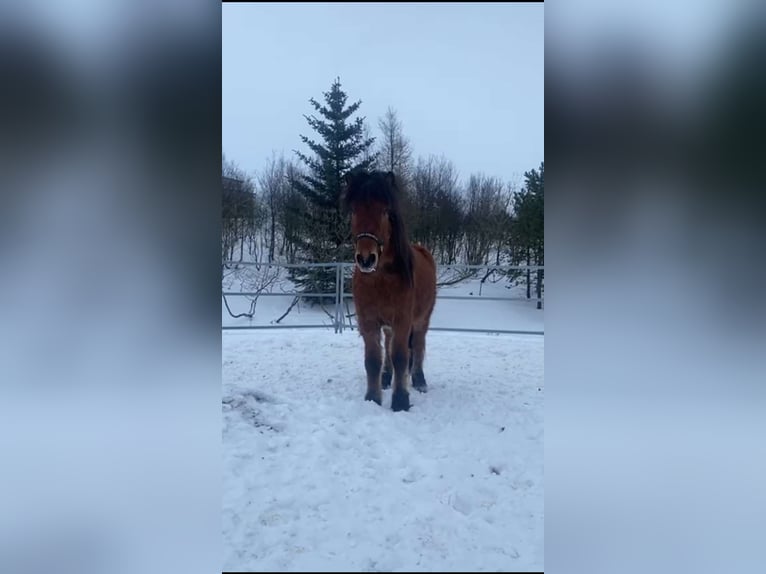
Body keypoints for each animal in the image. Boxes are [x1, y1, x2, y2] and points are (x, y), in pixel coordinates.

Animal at [342, 169, 437, 412]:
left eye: (385, 211)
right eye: (353, 210)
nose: (366, 258)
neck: (380, 279)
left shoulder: (403, 320)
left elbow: (401, 357)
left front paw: (401, 401)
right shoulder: (368, 321)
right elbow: (373, 359)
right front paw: (373, 398)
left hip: (422, 319)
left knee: (418, 345)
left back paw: (420, 380)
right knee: (388, 345)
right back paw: (386, 378)